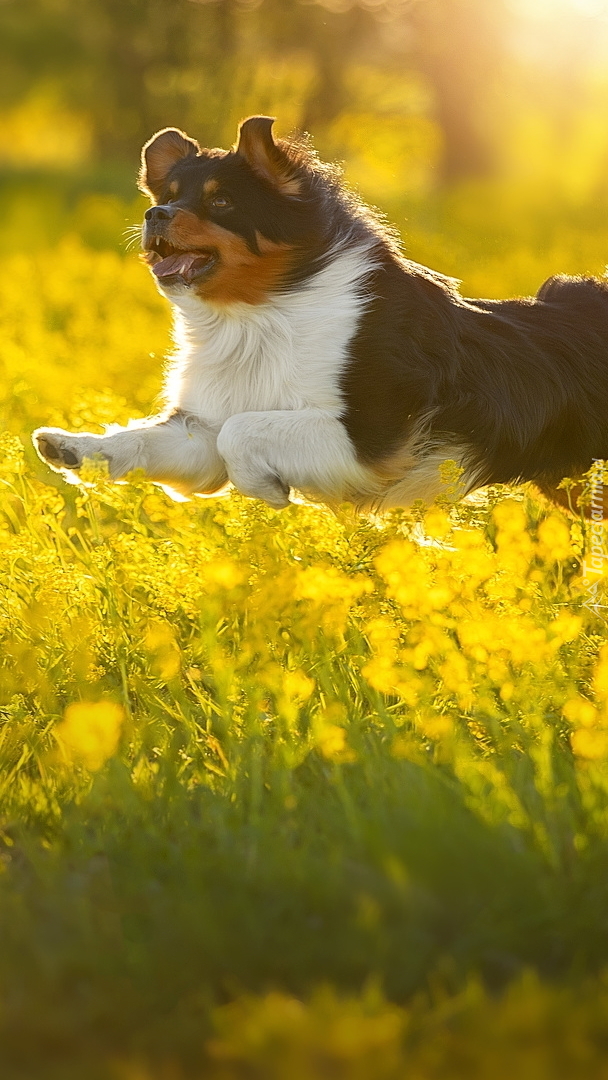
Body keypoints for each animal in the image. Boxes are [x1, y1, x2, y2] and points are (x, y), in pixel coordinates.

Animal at [32, 113, 608, 514]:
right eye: (169, 194)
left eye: (221, 202)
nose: (155, 214)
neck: (260, 315)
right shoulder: (205, 422)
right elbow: (151, 438)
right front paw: (72, 447)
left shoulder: (365, 436)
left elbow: (239, 433)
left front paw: (270, 490)